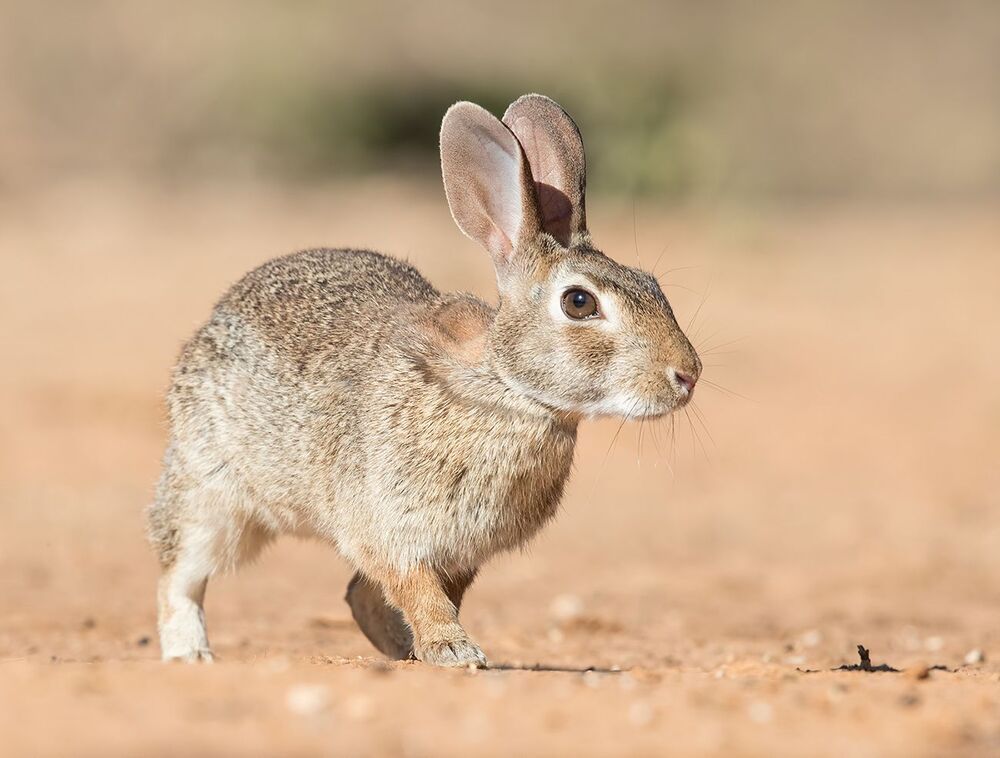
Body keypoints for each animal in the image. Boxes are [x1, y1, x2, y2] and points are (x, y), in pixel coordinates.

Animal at [147, 94, 702, 667]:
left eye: (651, 284)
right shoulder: (388, 528)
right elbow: (418, 591)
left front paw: (434, 649)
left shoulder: (462, 552)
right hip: (212, 495)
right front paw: (454, 650)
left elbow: (427, 593)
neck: (505, 388)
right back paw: (190, 654)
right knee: (179, 575)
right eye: (579, 302)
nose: (687, 374)